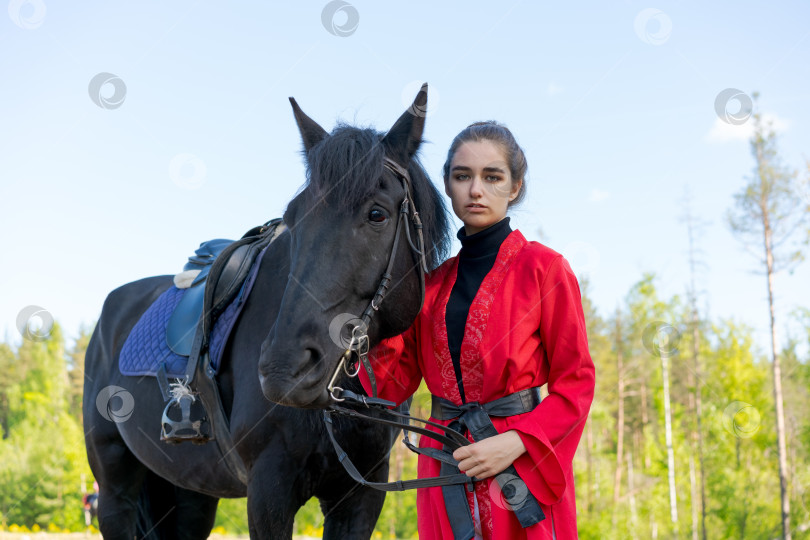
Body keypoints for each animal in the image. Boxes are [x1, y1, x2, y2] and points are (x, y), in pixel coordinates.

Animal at [84, 83, 452, 536]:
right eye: (294, 219)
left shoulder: (361, 496)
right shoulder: (268, 491)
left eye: (377, 214)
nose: (283, 369)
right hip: (114, 487)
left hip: (188, 494)